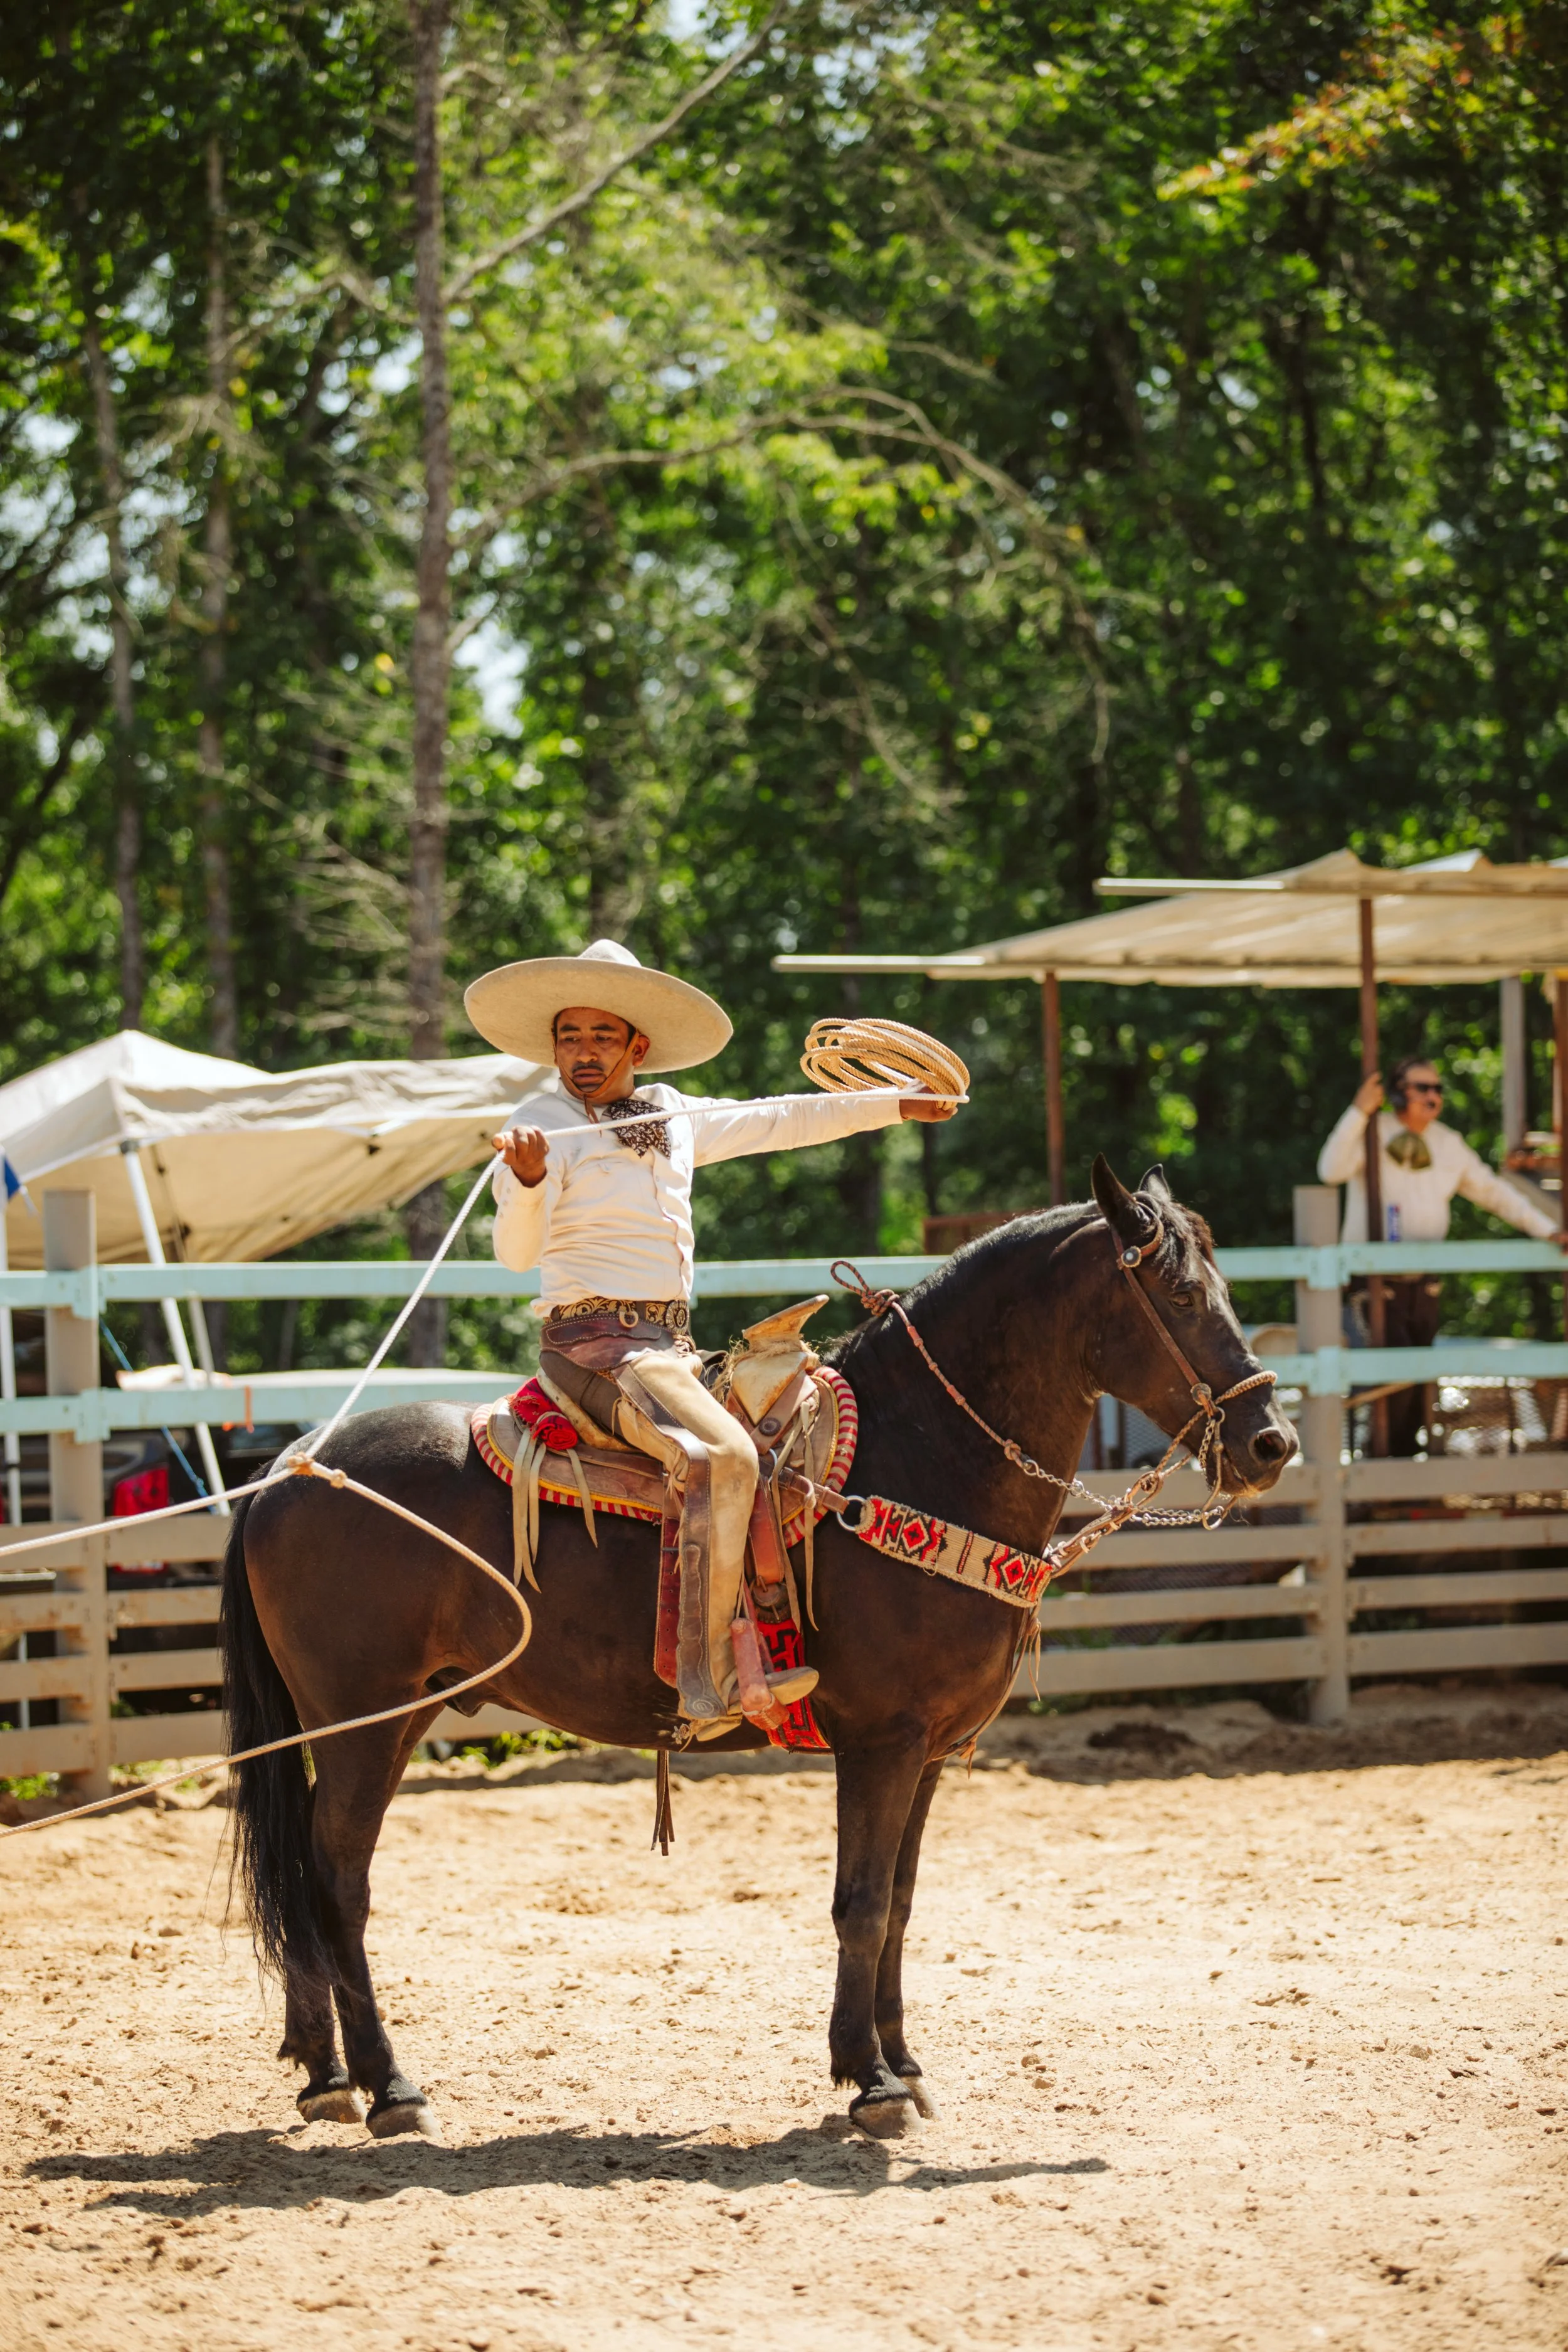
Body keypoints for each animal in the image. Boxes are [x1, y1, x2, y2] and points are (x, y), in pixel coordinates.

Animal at [222, 1156, 1296, 2141]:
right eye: (1178, 1292)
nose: (1269, 1442)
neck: (916, 1456)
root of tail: (292, 1464)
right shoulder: (882, 1743)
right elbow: (861, 1903)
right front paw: (871, 2079)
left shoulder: (929, 1753)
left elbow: (901, 1901)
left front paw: (903, 2061)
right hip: (365, 1724)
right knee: (336, 1879)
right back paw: (388, 2084)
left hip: (391, 1718)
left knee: (303, 1869)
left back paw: (323, 2071)